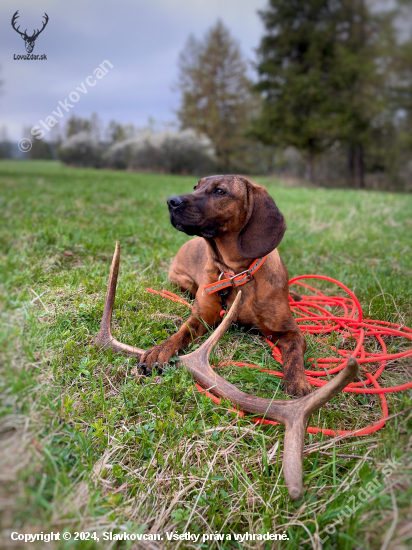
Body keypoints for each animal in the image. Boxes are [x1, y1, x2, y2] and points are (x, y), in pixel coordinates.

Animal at [137, 176, 310, 396]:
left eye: (220, 191)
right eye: (196, 187)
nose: (171, 201)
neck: (236, 275)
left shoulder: (290, 331)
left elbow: (295, 356)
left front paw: (298, 382)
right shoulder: (200, 318)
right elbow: (182, 332)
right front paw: (161, 349)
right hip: (183, 282)